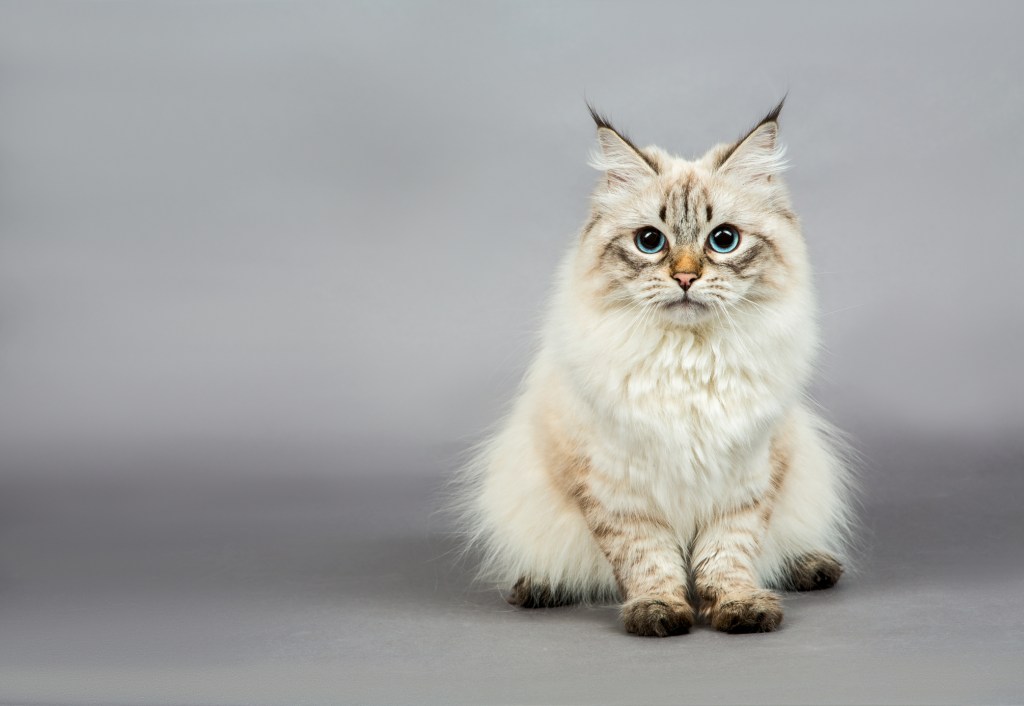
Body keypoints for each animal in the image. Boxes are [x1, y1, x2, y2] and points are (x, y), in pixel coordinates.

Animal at [458, 99, 856, 635]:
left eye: (723, 240)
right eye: (650, 241)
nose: (686, 277)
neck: (686, 360)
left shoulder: (745, 481)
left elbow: (728, 557)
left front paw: (741, 608)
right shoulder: (618, 489)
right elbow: (648, 560)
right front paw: (660, 612)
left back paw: (813, 567)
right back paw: (538, 587)